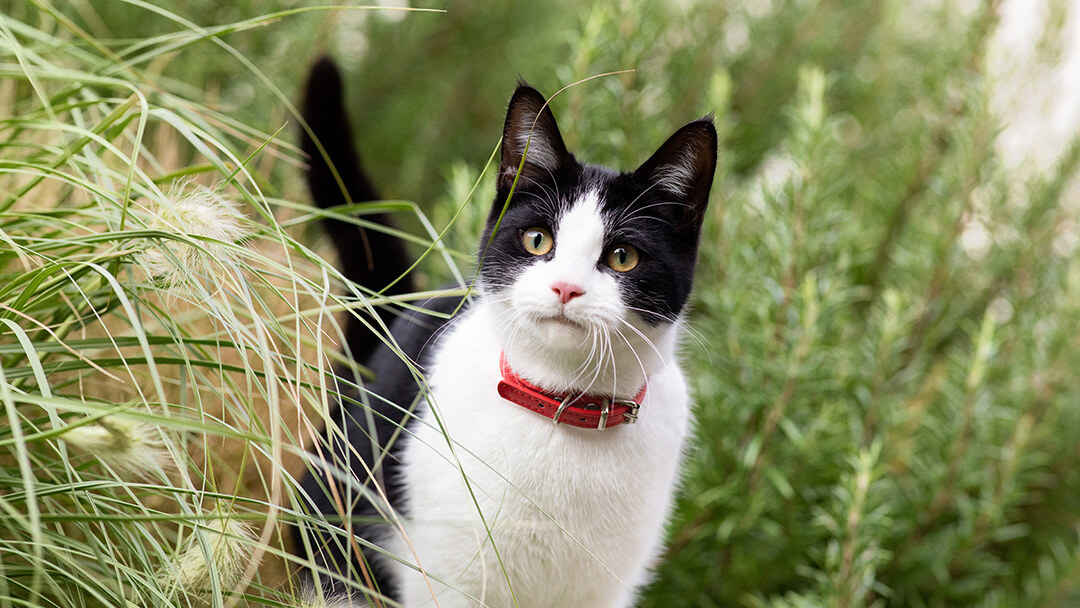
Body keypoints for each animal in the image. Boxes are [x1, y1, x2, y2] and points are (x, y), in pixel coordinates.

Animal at [295, 57, 717, 608]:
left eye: (623, 256)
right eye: (538, 240)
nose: (565, 287)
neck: (564, 405)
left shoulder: (605, 590)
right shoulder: (448, 579)